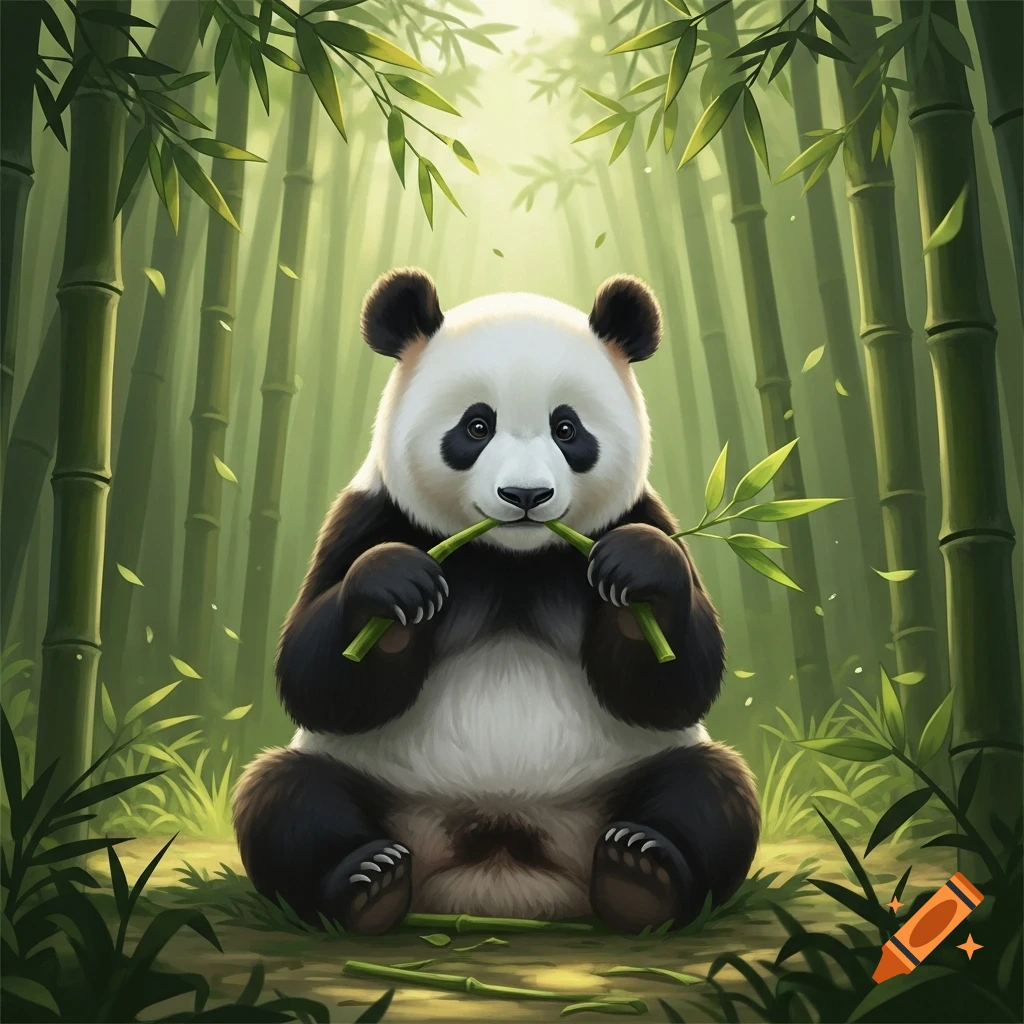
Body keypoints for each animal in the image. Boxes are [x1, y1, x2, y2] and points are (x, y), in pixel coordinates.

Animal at [233, 268, 760, 936]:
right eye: (476, 426)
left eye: (567, 429)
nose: (526, 495)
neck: (512, 559)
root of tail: (500, 855)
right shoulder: (369, 517)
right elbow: (315, 677)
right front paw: (396, 587)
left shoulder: (638, 517)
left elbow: (675, 685)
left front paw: (636, 570)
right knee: (287, 798)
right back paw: (367, 882)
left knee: (710, 790)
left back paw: (642, 872)